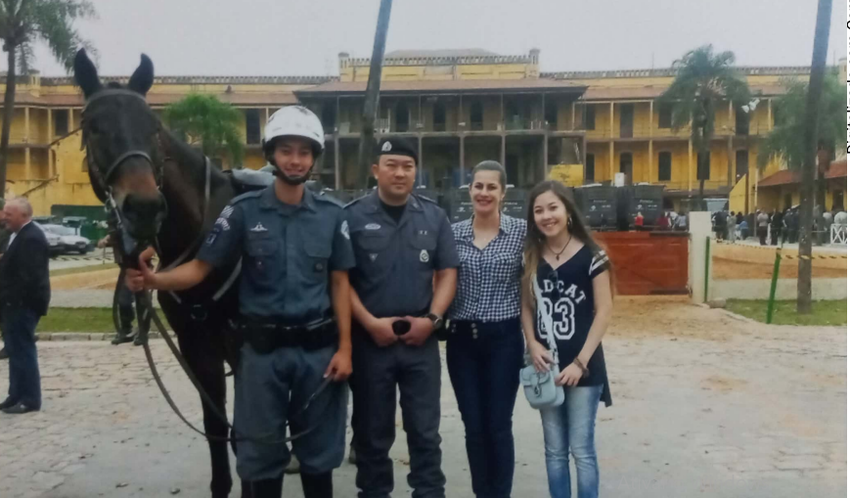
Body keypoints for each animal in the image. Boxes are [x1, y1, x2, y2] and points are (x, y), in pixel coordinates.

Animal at [73, 47, 248, 498]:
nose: (145, 206)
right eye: (93, 127)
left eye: (152, 127)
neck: (208, 232)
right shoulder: (196, 344)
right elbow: (218, 426)